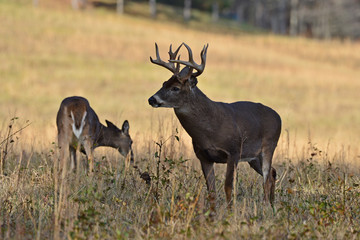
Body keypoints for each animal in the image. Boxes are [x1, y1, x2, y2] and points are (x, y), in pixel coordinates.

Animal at [148, 43, 282, 212]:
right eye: (163, 83)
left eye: (176, 88)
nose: (152, 99)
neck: (210, 131)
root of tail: (278, 116)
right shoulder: (203, 156)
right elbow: (211, 190)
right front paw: (212, 213)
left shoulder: (233, 152)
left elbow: (228, 187)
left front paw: (230, 212)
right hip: (253, 157)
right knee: (272, 173)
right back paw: (272, 205)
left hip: (269, 145)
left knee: (266, 177)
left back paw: (266, 206)